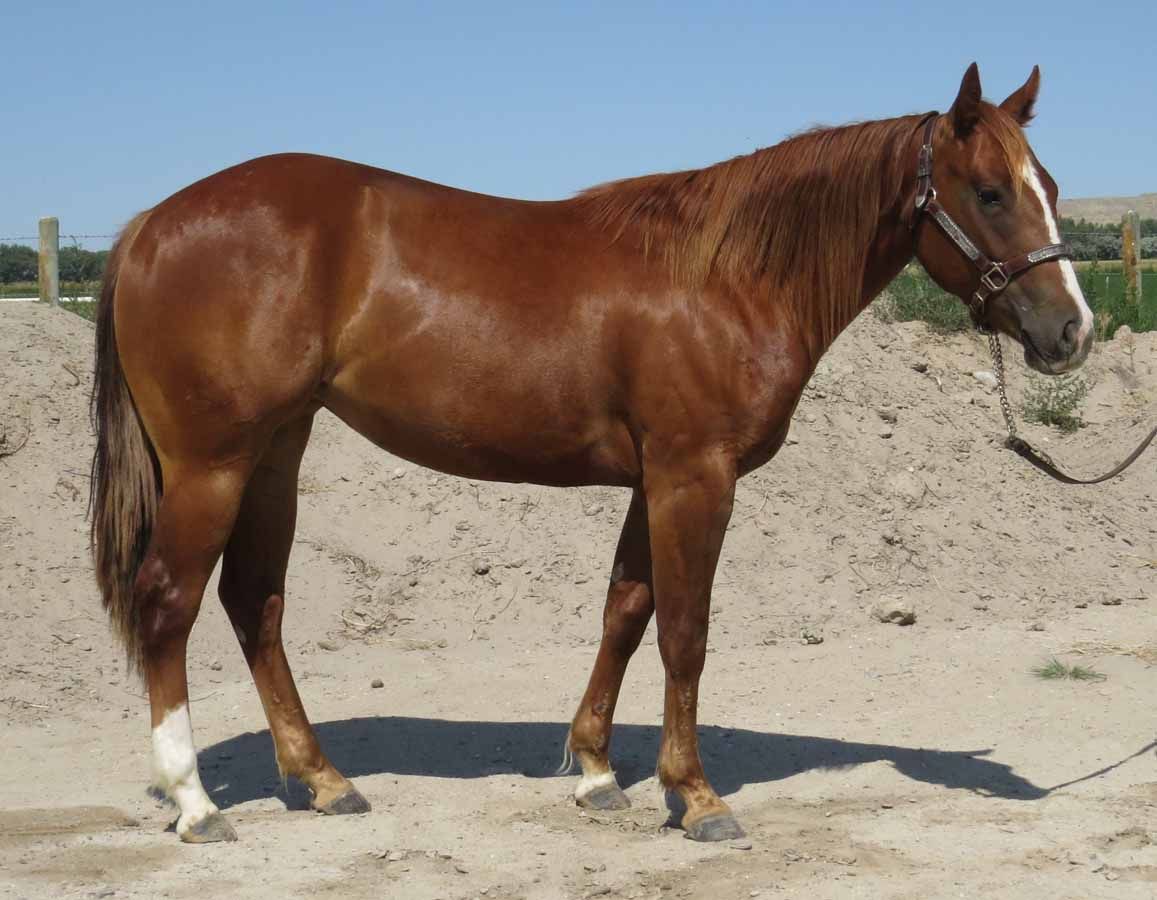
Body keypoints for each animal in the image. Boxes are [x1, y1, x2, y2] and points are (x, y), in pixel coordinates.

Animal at [90, 62, 1092, 844]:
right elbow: (685, 630)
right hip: (214, 465)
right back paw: (196, 803)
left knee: (253, 602)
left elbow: (626, 611)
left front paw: (599, 774)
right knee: (169, 601)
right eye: (990, 191)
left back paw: (324, 780)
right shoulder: (694, 475)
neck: (724, 275)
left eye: (1046, 182)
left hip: (274, 455)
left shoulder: (654, 480)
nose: (1070, 333)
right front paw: (695, 797)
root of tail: (148, 224)